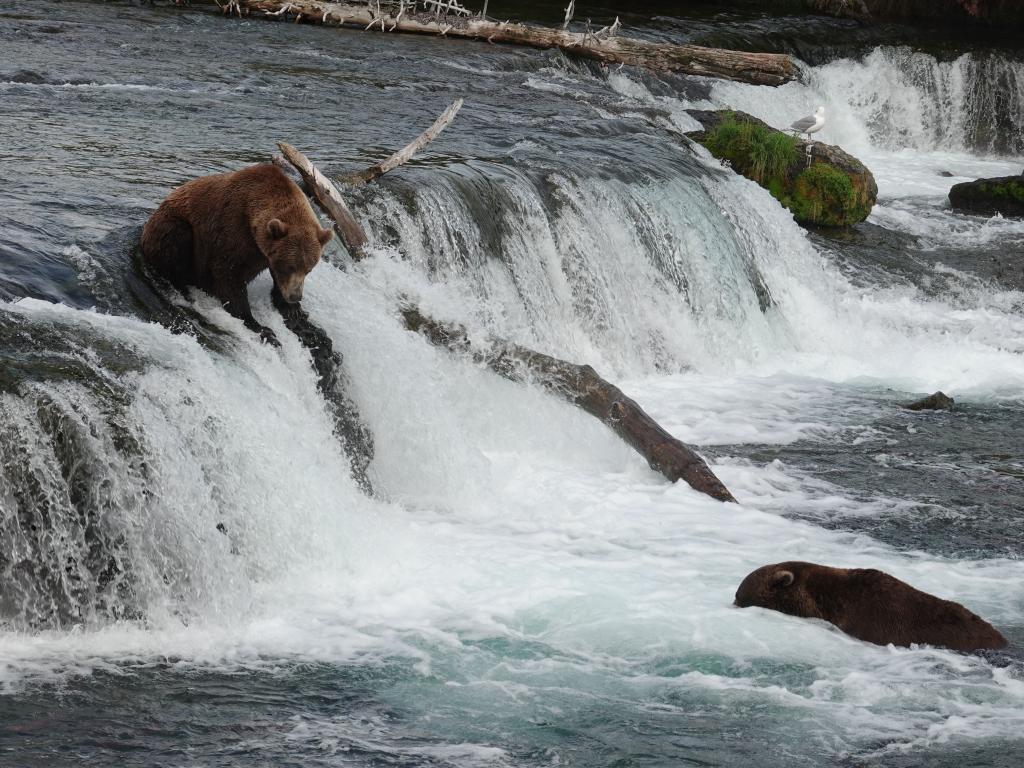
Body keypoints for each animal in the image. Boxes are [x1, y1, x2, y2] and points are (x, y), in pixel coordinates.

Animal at [139, 164, 331, 346]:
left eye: (308, 269)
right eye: (288, 267)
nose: (295, 296)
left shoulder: (264, 252)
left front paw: (292, 309)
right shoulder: (232, 231)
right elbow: (229, 277)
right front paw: (259, 325)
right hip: (175, 229)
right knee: (176, 240)